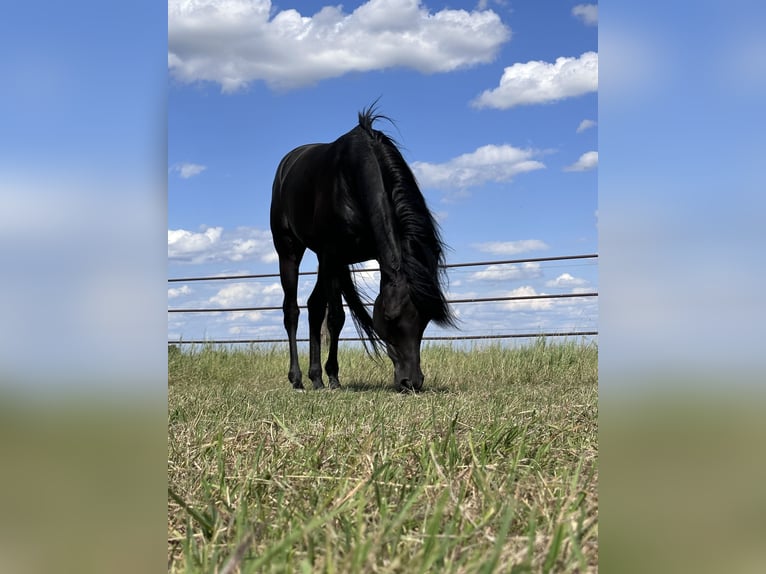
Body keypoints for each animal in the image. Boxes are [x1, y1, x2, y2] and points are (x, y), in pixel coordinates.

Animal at [270, 106, 456, 394]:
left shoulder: (353, 258)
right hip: (290, 250)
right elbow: (336, 317)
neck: (351, 179)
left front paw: (330, 377)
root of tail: (287, 164)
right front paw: (334, 379)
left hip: (324, 262)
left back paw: (316, 378)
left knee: (314, 307)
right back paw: (298, 379)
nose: (411, 382)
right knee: (292, 310)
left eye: (425, 318)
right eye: (390, 317)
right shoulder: (333, 254)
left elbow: (329, 315)